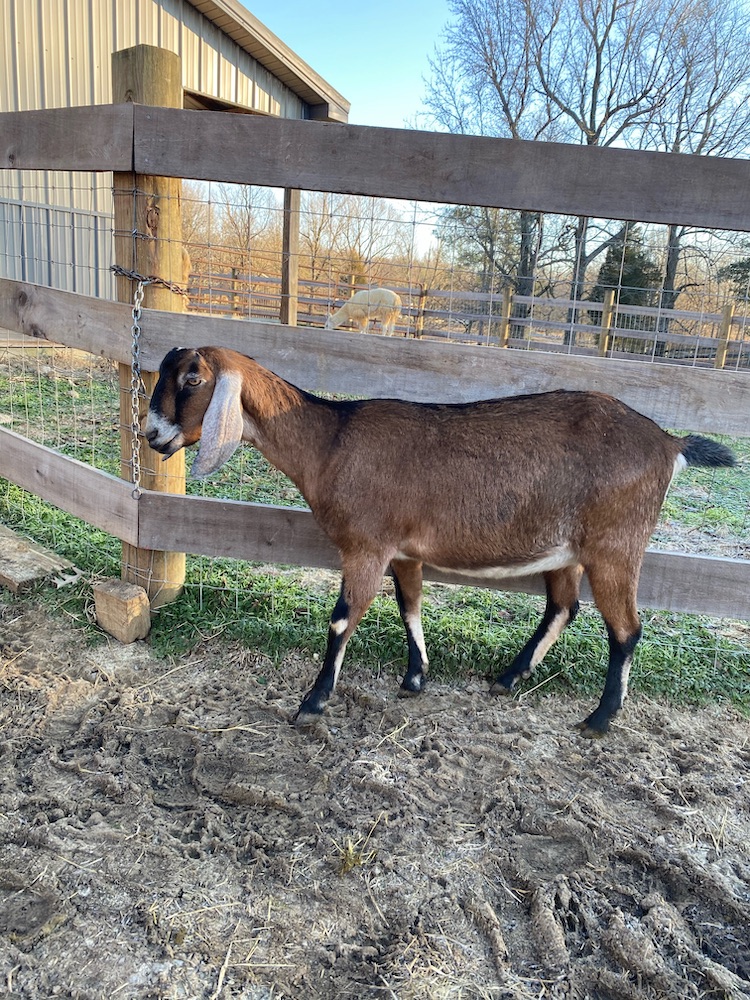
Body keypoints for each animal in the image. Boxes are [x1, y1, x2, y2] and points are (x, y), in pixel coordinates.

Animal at [144, 346, 736, 737]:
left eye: (193, 379)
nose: (151, 435)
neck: (330, 440)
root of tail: (669, 443)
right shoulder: (405, 551)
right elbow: (409, 606)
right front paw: (415, 678)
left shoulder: (367, 546)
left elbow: (342, 619)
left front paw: (312, 703)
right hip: (568, 550)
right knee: (562, 607)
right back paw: (509, 678)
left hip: (615, 545)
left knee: (626, 630)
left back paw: (599, 719)